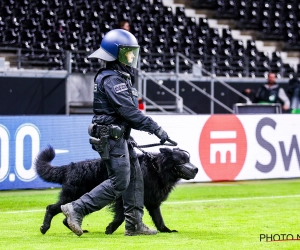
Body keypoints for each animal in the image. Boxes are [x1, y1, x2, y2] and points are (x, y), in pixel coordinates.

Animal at [35, 146, 198, 234]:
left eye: (188, 159)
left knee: (65, 216)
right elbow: (120, 217)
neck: (156, 168)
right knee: (52, 208)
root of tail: (69, 167)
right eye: (181, 160)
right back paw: (45, 227)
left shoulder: (153, 202)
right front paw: (110, 228)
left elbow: (159, 219)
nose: (196, 169)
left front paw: (166, 230)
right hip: (72, 196)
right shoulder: (122, 200)